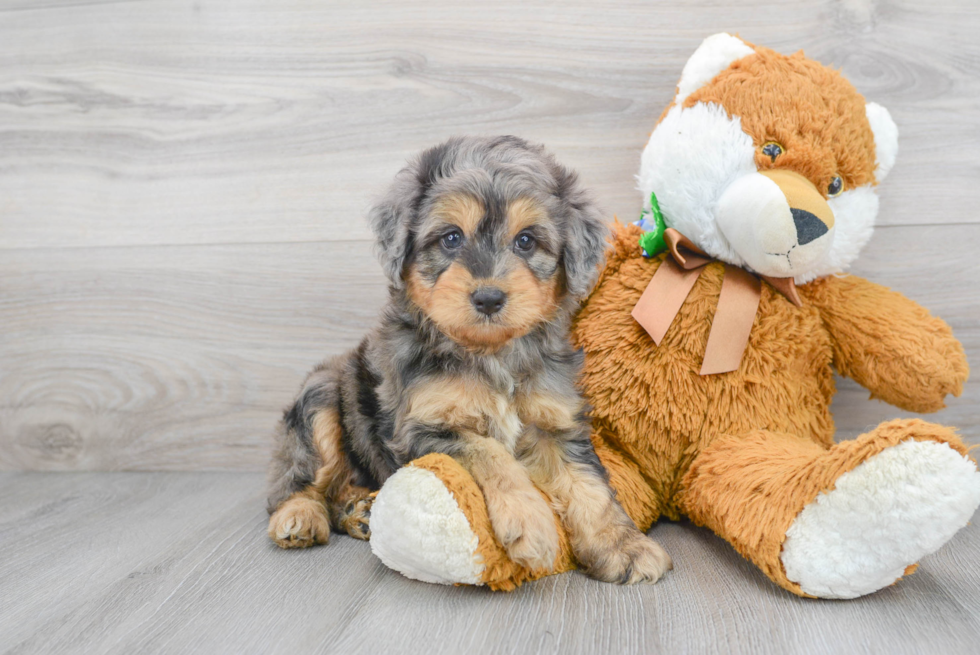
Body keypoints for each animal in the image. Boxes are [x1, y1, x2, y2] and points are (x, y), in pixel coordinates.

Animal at [264, 136, 668, 588]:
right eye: (451, 238)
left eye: (526, 241)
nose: (488, 298)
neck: (489, 354)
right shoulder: (425, 426)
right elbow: (490, 452)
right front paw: (532, 522)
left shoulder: (554, 423)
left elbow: (589, 485)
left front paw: (623, 545)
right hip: (318, 398)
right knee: (296, 480)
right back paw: (299, 516)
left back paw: (359, 511)